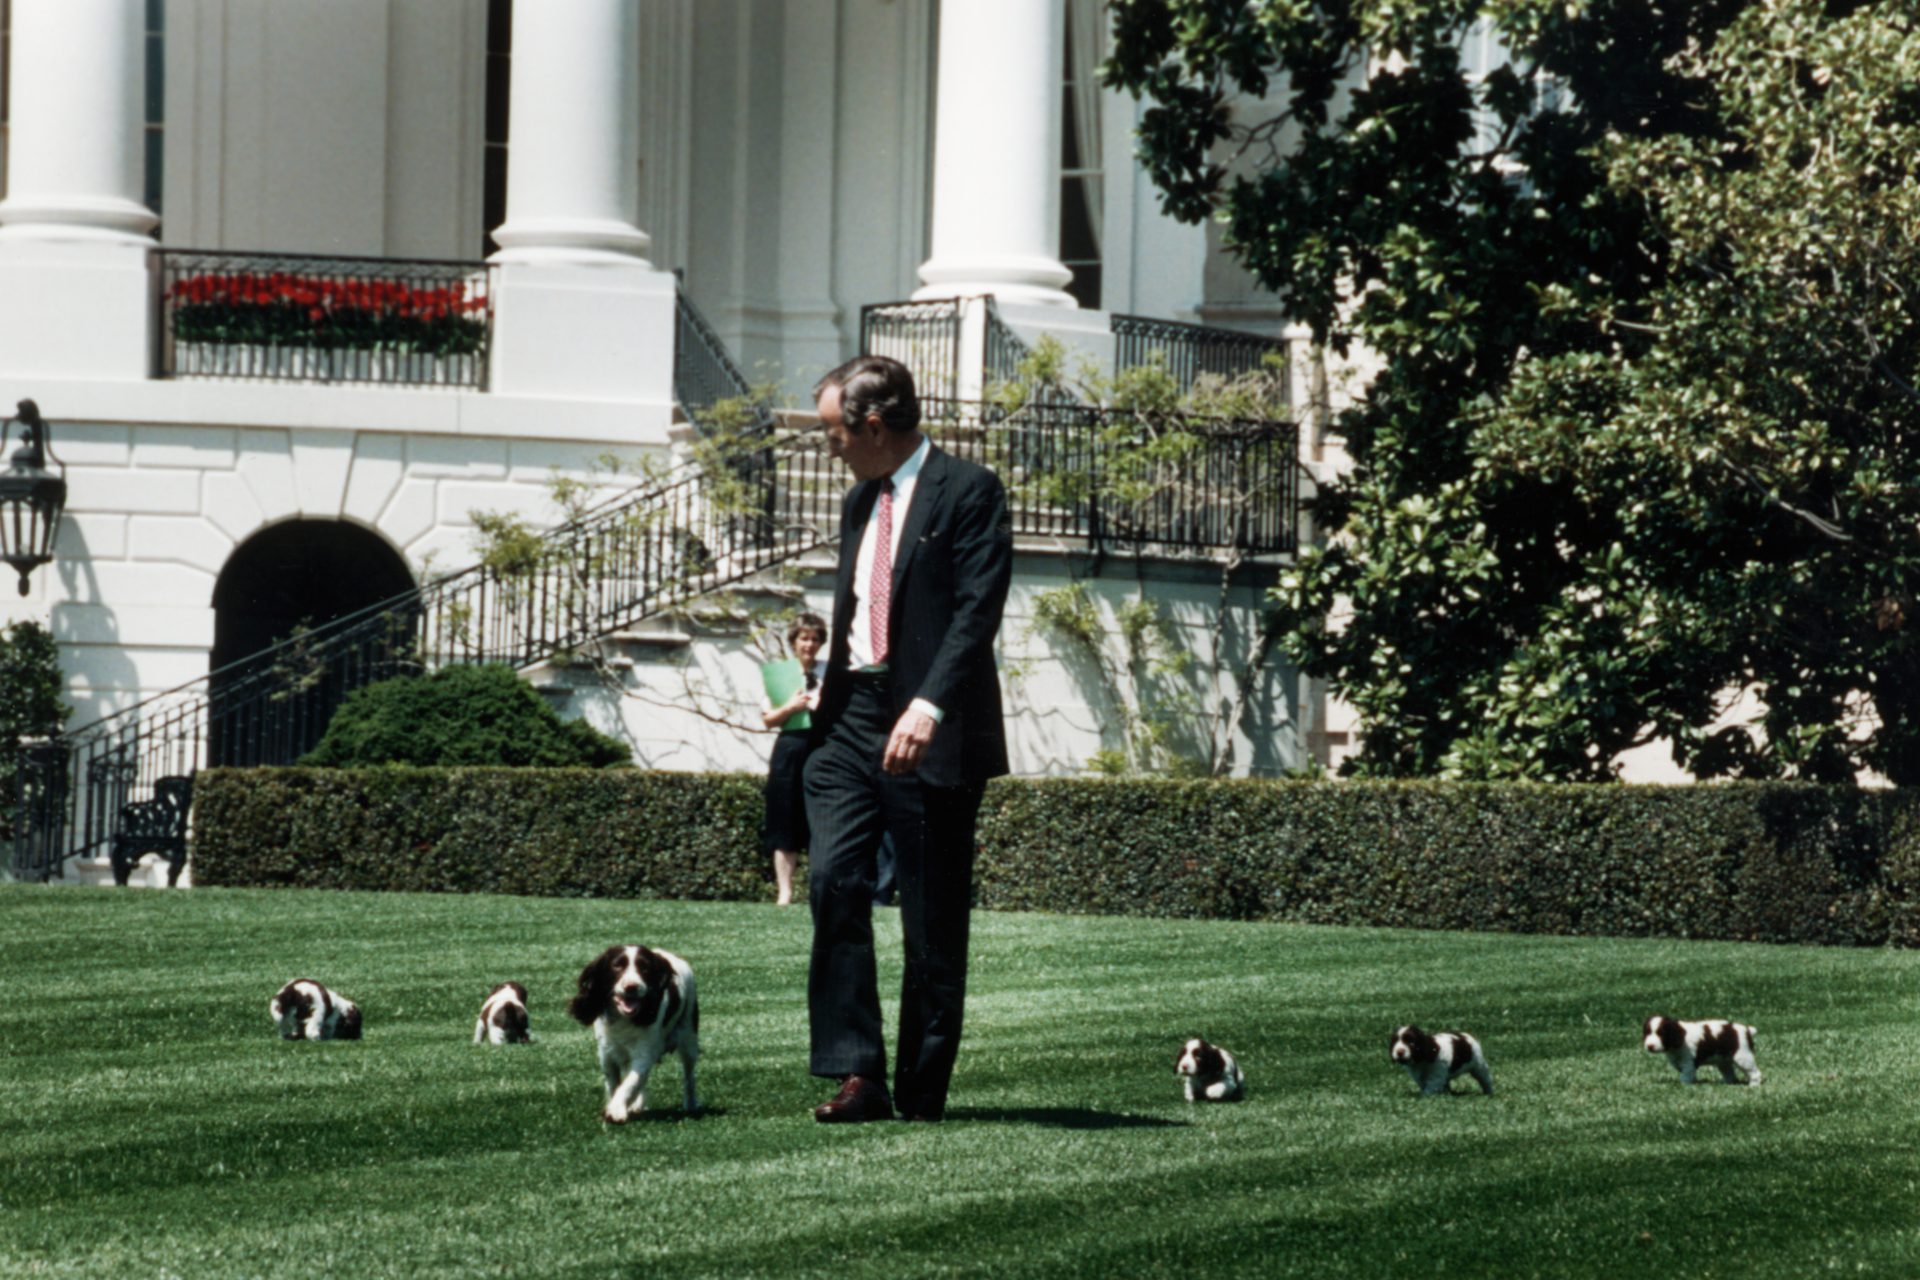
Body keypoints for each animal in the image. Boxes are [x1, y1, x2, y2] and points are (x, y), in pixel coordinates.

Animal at [564, 948, 702, 1128]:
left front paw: (616, 1110)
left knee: (688, 1075)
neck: (624, 1019)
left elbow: (631, 1081)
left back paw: (690, 1105)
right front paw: (619, 1105)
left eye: (644, 968)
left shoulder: (644, 1052)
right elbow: (615, 1083)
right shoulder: (606, 1052)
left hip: (689, 1037)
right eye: (617, 966)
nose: (631, 987)